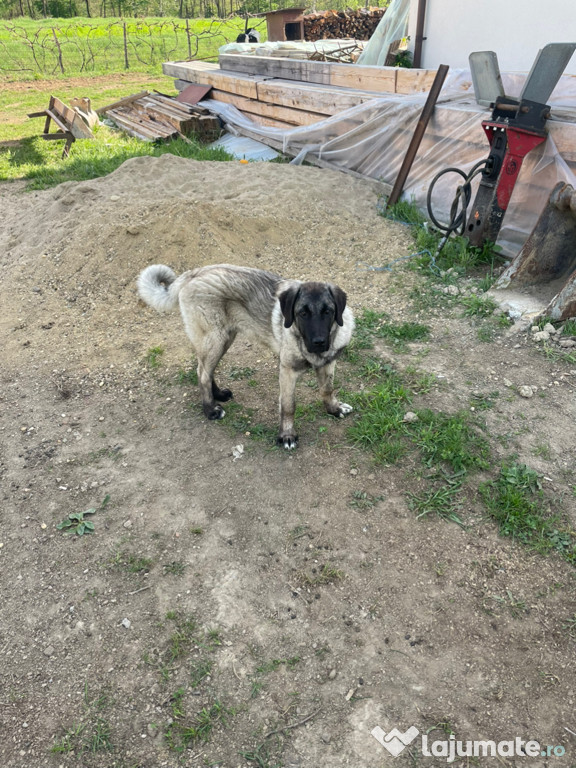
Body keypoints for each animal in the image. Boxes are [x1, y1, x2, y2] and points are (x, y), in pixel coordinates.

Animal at [138, 262, 356, 450]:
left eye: (328, 312)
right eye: (302, 313)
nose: (319, 342)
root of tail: (192, 274)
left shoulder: (328, 364)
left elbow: (327, 389)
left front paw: (334, 409)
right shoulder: (287, 371)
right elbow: (288, 406)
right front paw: (287, 435)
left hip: (224, 338)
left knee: (206, 370)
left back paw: (218, 394)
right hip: (214, 339)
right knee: (202, 373)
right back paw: (210, 409)